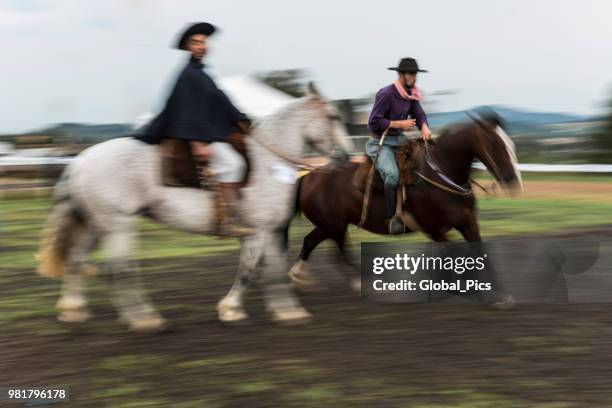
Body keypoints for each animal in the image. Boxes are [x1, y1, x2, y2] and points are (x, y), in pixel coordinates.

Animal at [37, 91, 354, 332]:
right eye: (334, 117)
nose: (346, 156)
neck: (268, 163)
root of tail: (80, 161)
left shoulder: (267, 231)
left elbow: (264, 268)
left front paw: (283, 310)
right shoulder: (261, 230)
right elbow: (251, 269)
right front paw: (237, 309)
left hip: (95, 225)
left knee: (76, 260)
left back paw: (73, 309)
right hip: (118, 226)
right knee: (120, 270)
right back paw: (144, 318)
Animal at [290, 111, 520, 300]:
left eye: (511, 144)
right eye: (494, 144)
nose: (512, 180)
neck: (442, 175)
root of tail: (308, 177)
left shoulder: (468, 222)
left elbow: (479, 253)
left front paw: (499, 295)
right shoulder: (434, 230)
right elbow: (452, 256)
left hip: (329, 225)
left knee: (310, 242)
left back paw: (298, 276)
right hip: (335, 226)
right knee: (340, 252)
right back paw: (362, 285)